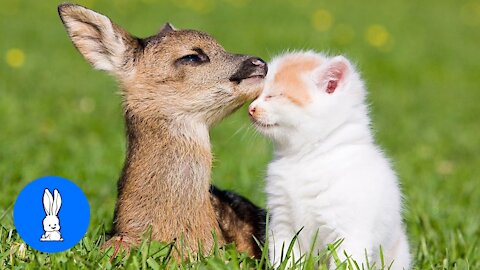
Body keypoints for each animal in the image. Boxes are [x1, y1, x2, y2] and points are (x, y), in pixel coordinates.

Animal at [249, 51, 410, 268]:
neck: (304, 158)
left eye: (274, 95)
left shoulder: (349, 232)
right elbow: (286, 258)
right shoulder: (282, 224)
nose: (251, 108)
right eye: (257, 95)